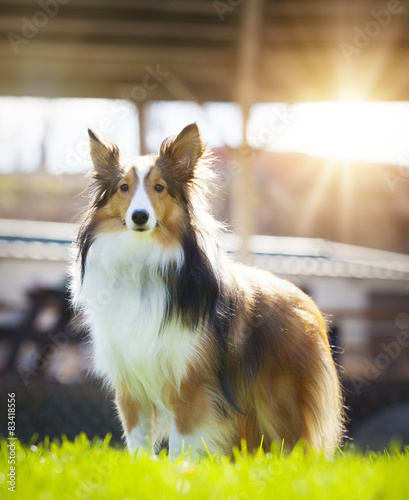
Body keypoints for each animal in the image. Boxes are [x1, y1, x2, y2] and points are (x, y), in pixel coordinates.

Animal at [71, 122, 344, 458]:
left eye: (159, 187)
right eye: (124, 187)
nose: (139, 217)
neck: (143, 263)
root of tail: (308, 302)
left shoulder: (189, 382)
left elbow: (182, 442)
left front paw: (180, 471)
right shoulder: (130, 383)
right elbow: (137, 442)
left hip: (280, 402)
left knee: (298, 450)